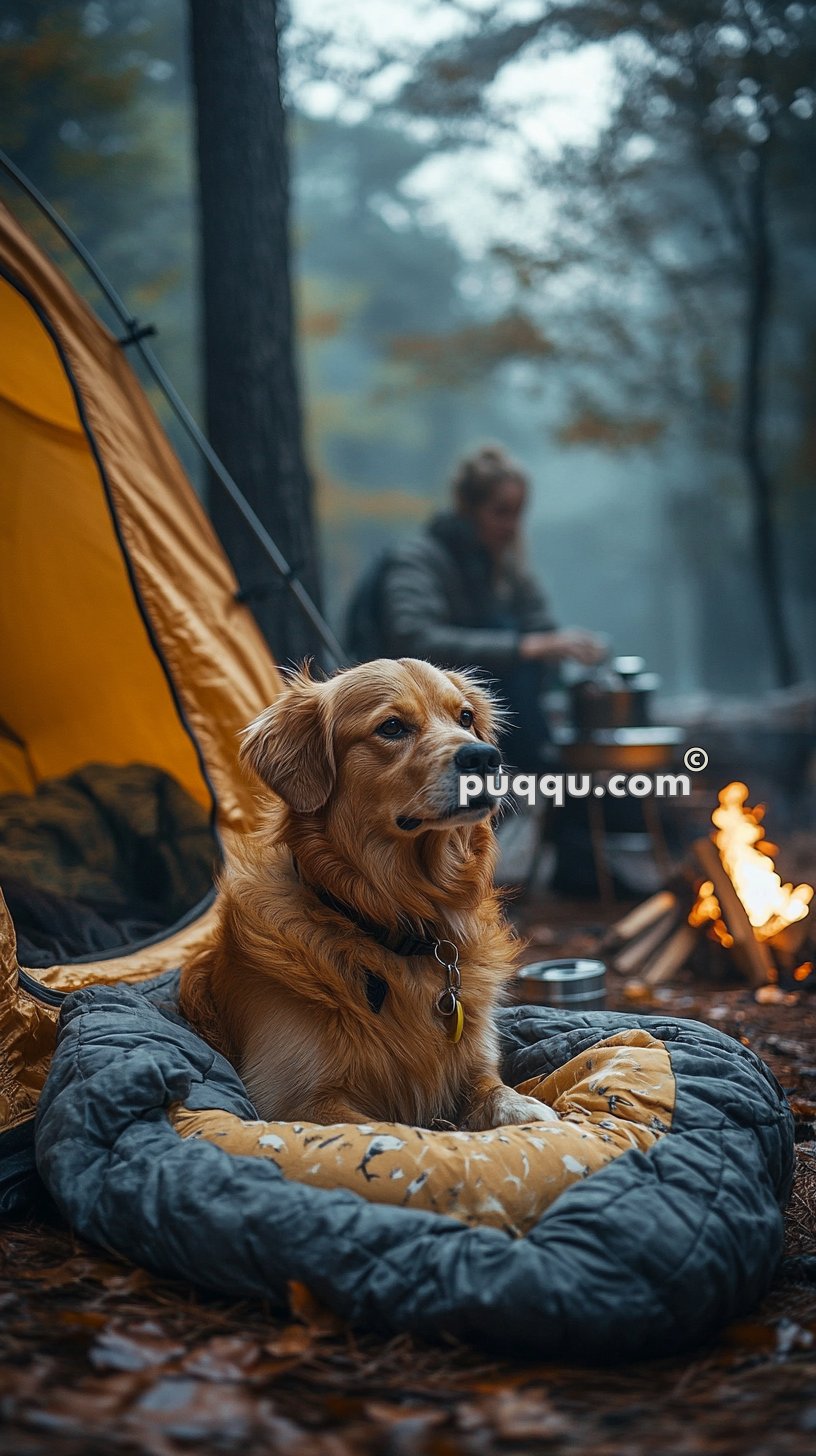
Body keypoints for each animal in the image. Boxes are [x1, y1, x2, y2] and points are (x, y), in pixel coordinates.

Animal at [181, 655, 553, 1129]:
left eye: (465, 717)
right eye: (391, 727)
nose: (486, 758)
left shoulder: (476, 1061)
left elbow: (497, 1090)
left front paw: (531, 1110)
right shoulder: (292, 1103)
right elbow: (397, 1129)